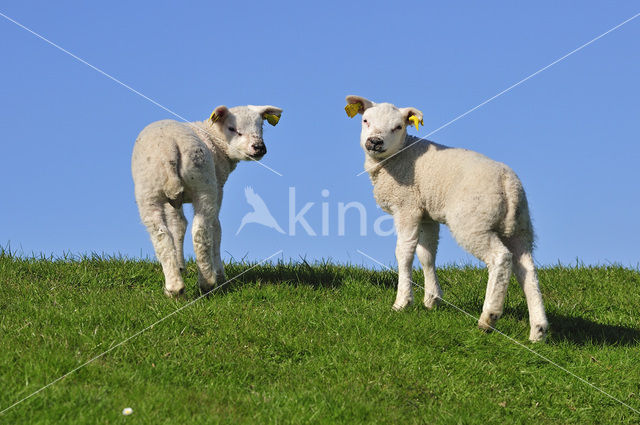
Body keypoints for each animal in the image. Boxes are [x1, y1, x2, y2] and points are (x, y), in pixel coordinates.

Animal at [132, 103, 282, 294]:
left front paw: (180, 266)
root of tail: (168, 150)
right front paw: (220, 274)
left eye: (261, 126)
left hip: (148, 192)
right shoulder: (219, 188)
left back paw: (174, 287)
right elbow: (216, 229)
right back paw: (207, 282)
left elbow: (177, 225)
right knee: (201, 230)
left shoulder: (172, 202)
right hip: (204, 185)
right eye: (232, 128)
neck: (214, 138)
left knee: (161, 235)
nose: (259, 147)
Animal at [344, 94, 552, 340]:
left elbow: (404, 253)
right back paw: (538, 329)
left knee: (501, 258)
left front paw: (403, 302)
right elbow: (427, 254)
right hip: (520, 226)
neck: (399, 155)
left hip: (473, 223)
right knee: (527, 269)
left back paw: (488, 317)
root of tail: (508, 183)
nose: (375, 142)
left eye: (398, 127)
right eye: (365, 120)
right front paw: (432, 299)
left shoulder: (407, 207)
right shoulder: (426, 214)